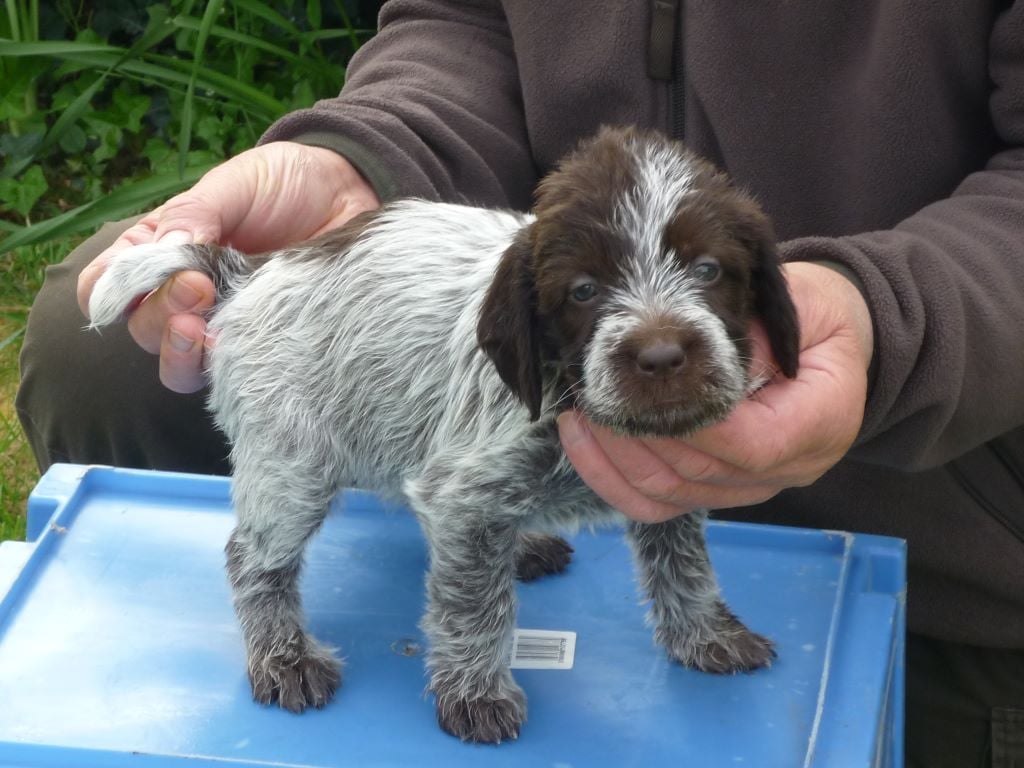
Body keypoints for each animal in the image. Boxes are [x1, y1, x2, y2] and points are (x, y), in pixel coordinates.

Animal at [88, 126, 798, 745]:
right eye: (583, 291)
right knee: (252, 559)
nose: (660, 357)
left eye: (709, 270)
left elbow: (685, 565)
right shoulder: (464, 494)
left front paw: (705, 634)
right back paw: (282, 656)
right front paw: (475, 694)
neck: (574, 397)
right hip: (292, 466)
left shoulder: (666, 487)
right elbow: (474, 607)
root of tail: (249, 277)